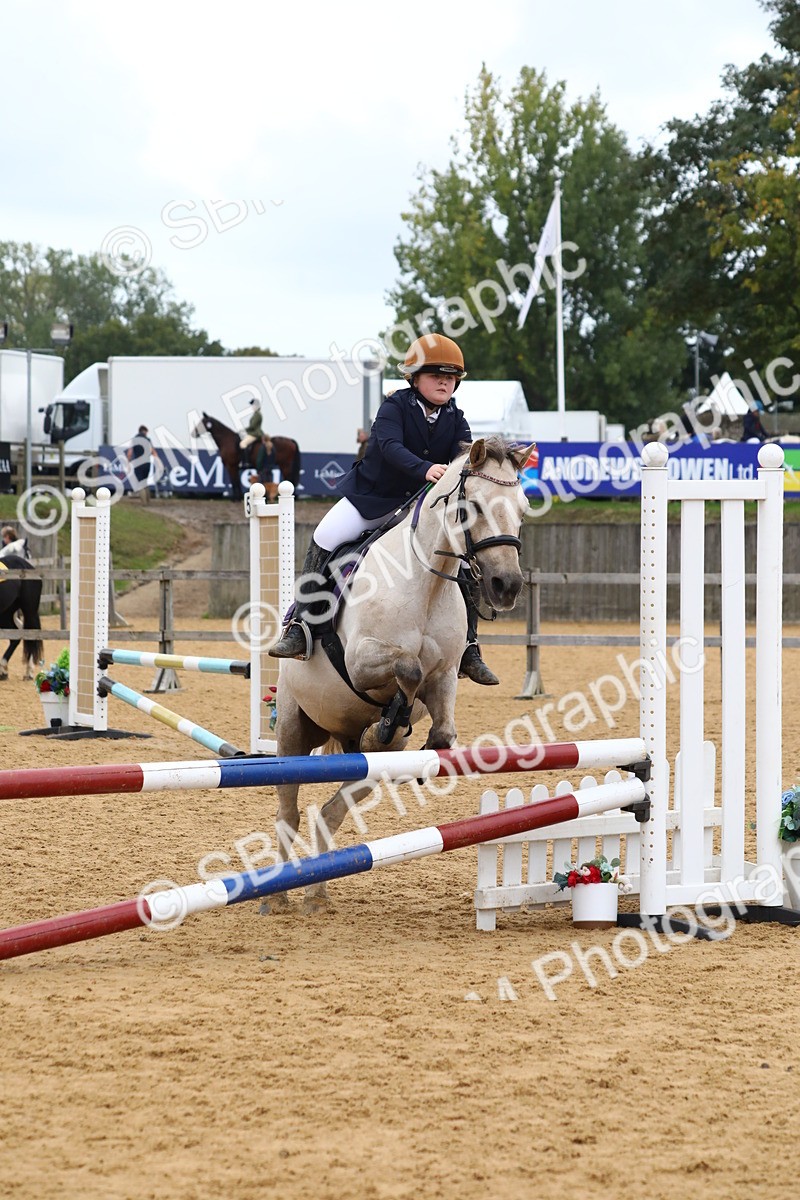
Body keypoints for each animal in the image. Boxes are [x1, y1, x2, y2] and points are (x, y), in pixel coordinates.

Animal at [267, 436, 533, 913]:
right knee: (288, 812)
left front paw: (400, 736)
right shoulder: (360, 660)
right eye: (473, 507)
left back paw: (316, 892)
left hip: (354, 759)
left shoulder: (444, 678)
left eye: (522, 509)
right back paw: (276, 896)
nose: (507, 586)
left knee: (331, 810)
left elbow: (441, 729)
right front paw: (386, 722)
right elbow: (406, 666)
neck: (425, 583)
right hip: (293, 727)